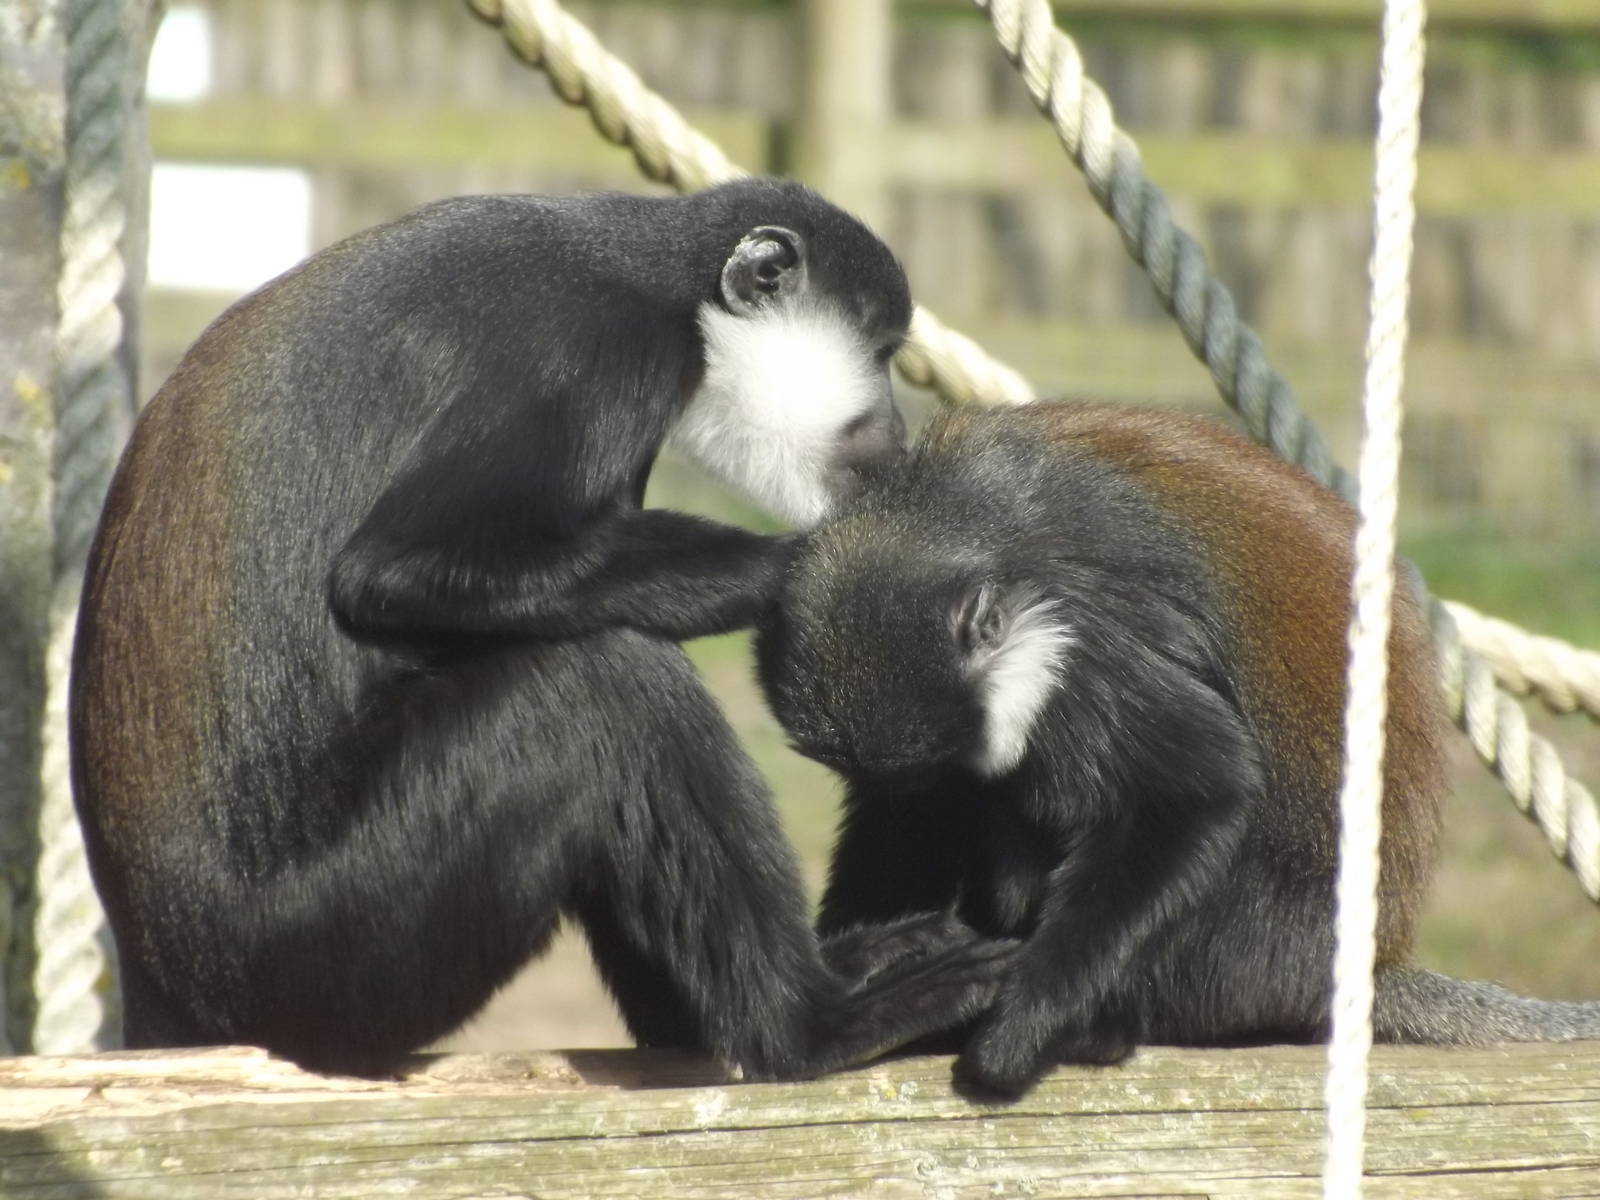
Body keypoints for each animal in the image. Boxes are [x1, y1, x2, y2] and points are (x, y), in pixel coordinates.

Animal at [69, 178, 1014, 1079]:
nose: (893, 428)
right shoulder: (601, 352)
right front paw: (804, 571)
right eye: (880, 354)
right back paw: (803, 1028)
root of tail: (166, 989)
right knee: (600, 680)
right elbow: (400, 571)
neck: (661, 279)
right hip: (326, 945)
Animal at [756, 400, 1600, 1100]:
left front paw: (1019, 1031)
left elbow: (1195, 789)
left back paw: (1093, 1031)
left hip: (1234, 954)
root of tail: (1370, 962)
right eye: (914, 778)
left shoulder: (1084, 640)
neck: (956, 518)